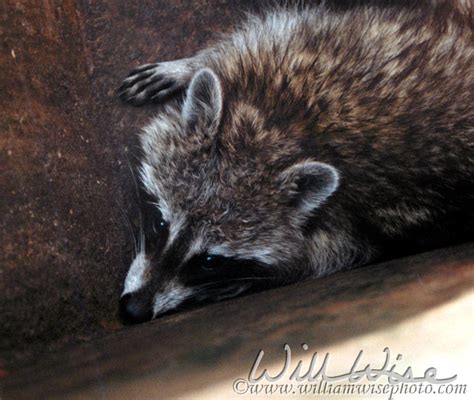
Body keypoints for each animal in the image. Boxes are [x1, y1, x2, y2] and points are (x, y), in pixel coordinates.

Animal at [116, 1, 472, 324]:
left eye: (210, 261)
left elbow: (317, 261)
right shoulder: (287, 48)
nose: (134, 311)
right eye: (162, 224)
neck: (283, 134)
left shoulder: (348, 227)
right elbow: (240, 44)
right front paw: (191, 66)